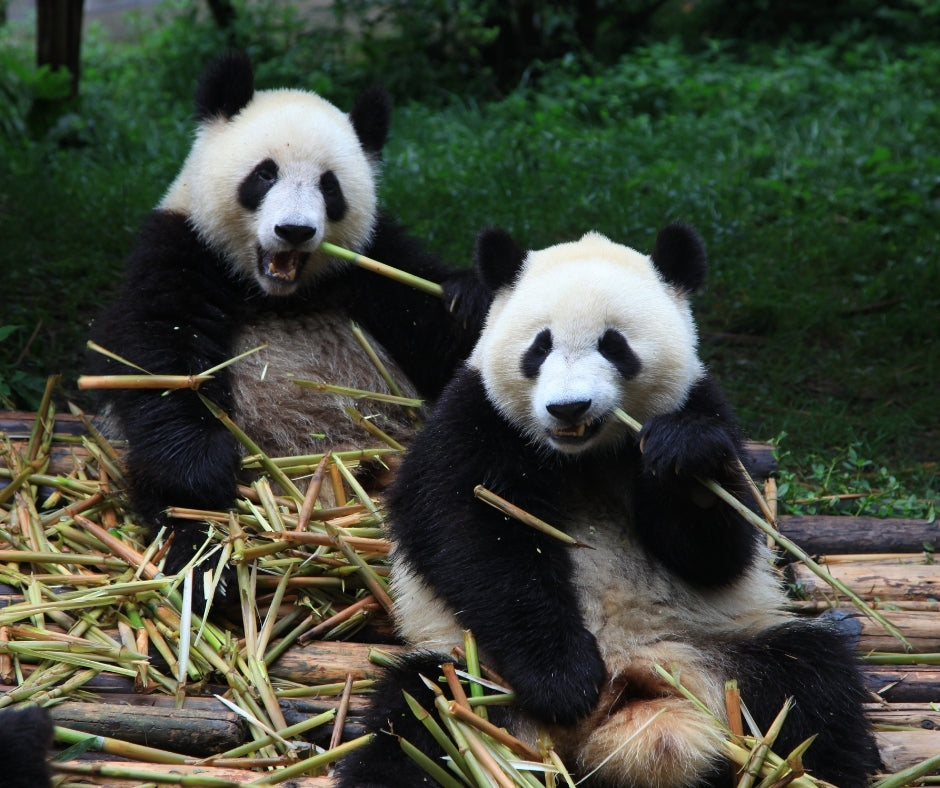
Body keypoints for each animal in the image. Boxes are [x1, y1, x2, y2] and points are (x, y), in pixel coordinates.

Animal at [89, 55, 488, 596]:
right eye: (264, 174)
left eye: (329, 186)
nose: (295, 230)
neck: (275, 293)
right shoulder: (180, 249)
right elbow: (162, 362)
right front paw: (202, 473)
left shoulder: (375, 262)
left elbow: (442, 337)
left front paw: (466, 298)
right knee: (175, 505)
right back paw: (211, 569)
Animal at [338, 222, 880, 788]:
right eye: (540, 345)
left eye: (614, 345)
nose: (568, 407)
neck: (581, 456)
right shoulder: (475, 418)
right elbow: (474, 537)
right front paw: (563, 681)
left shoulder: (705, 409)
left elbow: (718, 550)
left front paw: (682, 459)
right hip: (473, 677)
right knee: (417, 719)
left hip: (724, 656)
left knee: (811, 686)